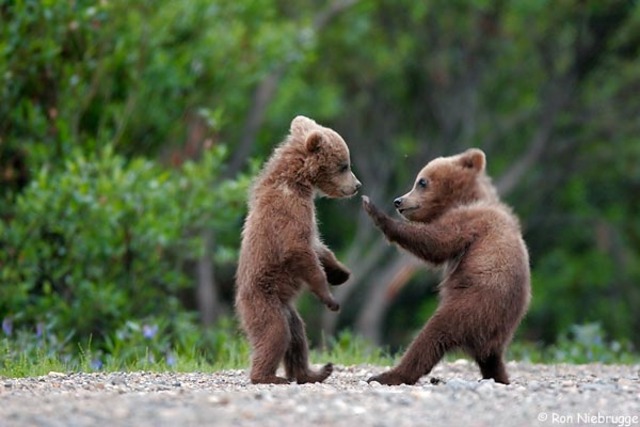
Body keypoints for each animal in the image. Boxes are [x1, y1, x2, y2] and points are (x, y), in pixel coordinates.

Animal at [235, 115, 361, 385]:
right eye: (344, 165)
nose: (357, 185)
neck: (298, 182)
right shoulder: (289, 211)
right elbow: (298, 249)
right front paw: (330, 298)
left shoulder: (307, 215)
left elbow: (318, 246)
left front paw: (341, 272)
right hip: (264, 301)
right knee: (275, 334)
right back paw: (268, 376)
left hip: (287, 309)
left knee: (297, 337)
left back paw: (314, 372)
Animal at [361, 148, 530, 385]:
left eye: (421, 181)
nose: (398, 201)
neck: (465, 199)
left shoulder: (470, 222)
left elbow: (437, 243)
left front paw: (374, 211)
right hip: (495, 327)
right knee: (490, 358)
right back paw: (499, 377)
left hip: (472, 306)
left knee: (431, 336)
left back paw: (388, 375)